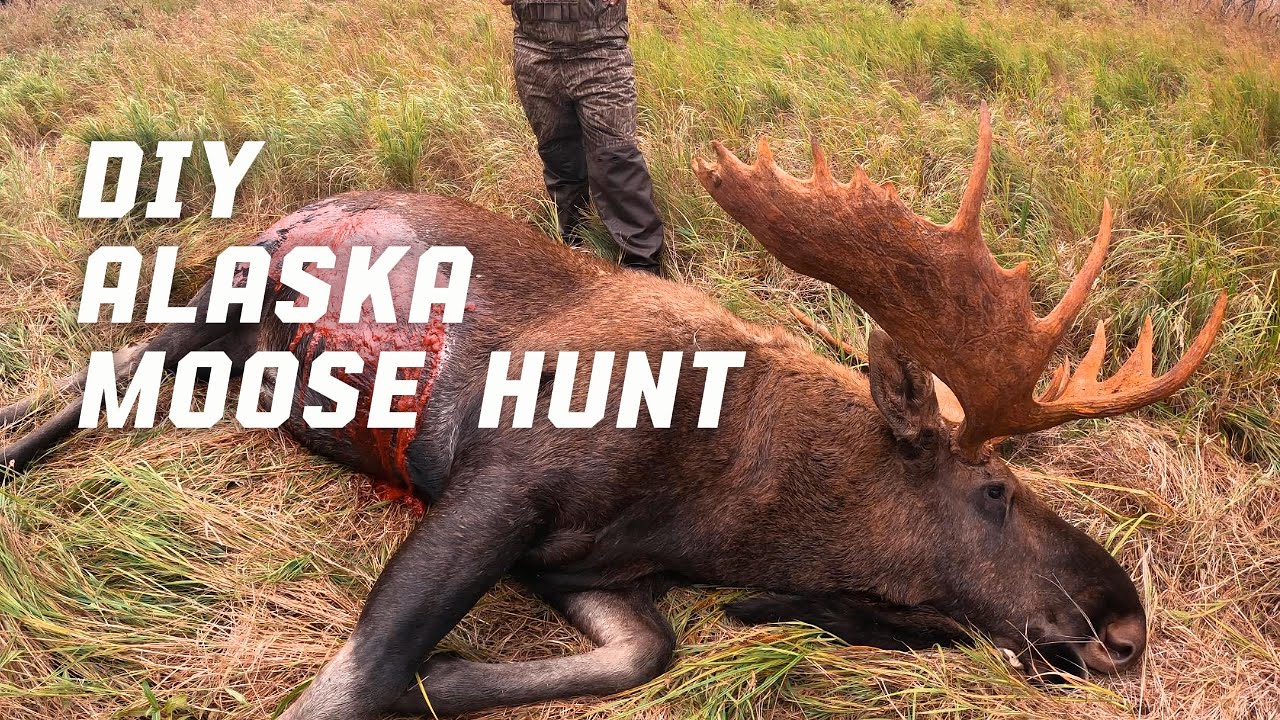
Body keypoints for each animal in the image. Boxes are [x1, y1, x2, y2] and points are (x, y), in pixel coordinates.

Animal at [0, 106, 1227, 720]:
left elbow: (641, 654)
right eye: (995, 489)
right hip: (224, 288)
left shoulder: (593, 567)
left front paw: (449, 680)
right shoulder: (497, 485)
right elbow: (354, 678)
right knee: (89, 382)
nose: (1124, 624)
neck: (722, 508)